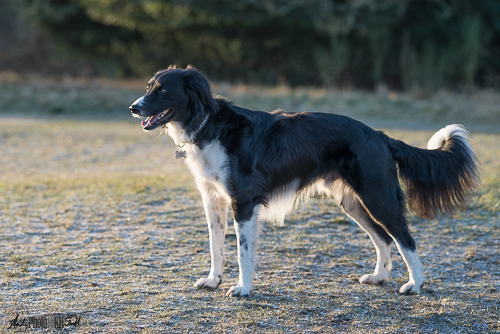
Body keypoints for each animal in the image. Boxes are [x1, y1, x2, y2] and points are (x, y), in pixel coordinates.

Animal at [130, 66, 480, 296]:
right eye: (148, 87)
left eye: (162, 90)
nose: (133, 108)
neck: (209, 126)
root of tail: (379, 135)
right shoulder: (213, 200)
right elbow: (216, 247)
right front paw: (213, 280)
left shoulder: (243, 203)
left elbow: (243, 252)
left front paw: (243, 288)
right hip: (353, 202)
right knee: (383, 238)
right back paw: (379, 277)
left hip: (377, 197)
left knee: (405, 239)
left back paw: (415, 284)